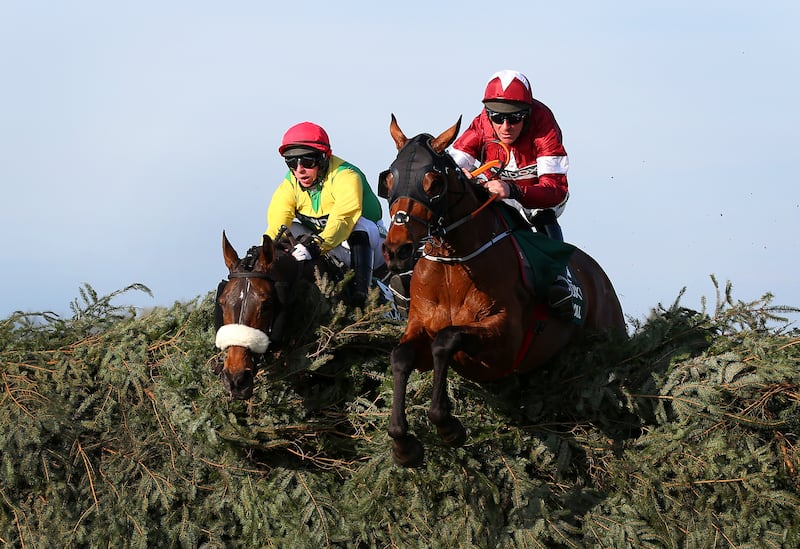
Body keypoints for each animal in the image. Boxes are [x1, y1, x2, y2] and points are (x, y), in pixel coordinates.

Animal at [378, 113, 628, 464]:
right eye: (388, 180)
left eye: (434, 183)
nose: (397, 250)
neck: (453, 265)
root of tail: (600, 278)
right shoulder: (420, 326)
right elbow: (401, 357)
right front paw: (403, 444)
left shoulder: (505, 340)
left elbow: (447, 340)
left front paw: (447, 424)